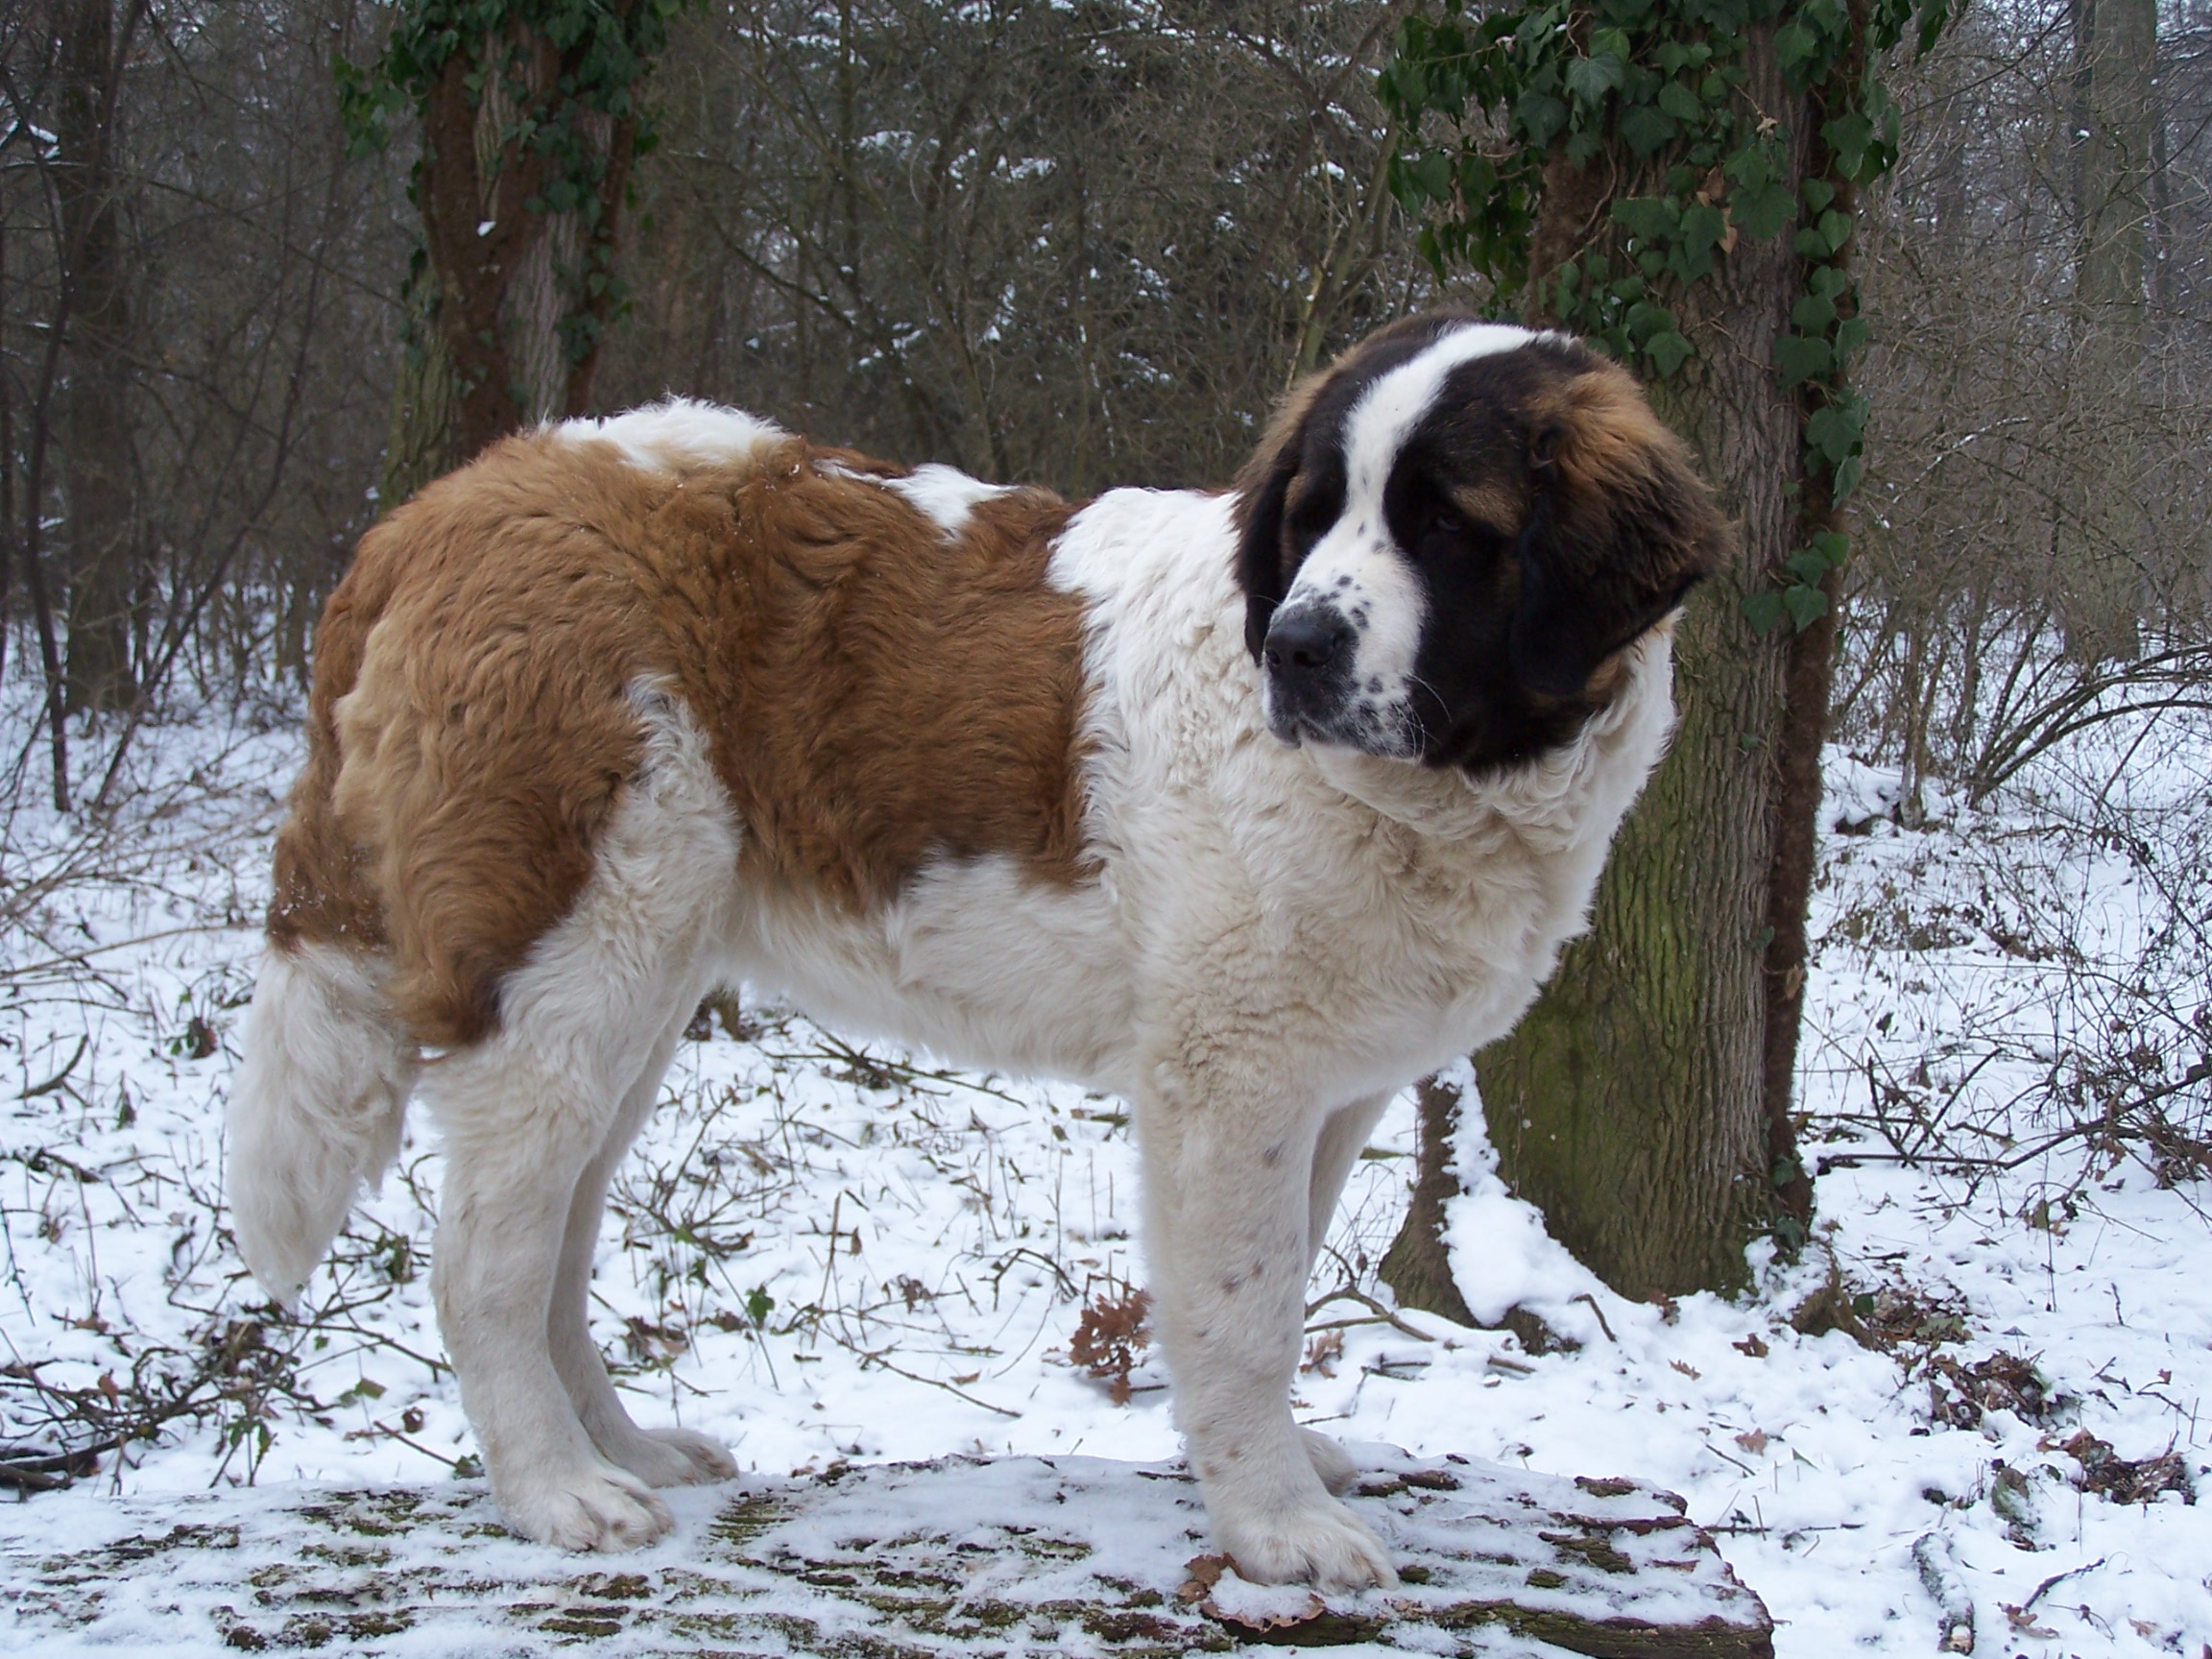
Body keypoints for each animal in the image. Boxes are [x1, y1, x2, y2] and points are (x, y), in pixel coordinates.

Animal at [233, 314, 1725, 1601]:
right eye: (1311, 519)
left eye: (1450, 530)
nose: (1297, 644)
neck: (1438, 793)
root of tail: (447, 500)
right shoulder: (1229, 1077)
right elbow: (1244, 1308)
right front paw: (1276, 1524)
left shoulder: (1327, 1087)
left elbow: (1282, 1277)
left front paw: (1287, 1467)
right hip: (565, 966)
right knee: (482, 1262)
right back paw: (555, 1491)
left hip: (628, 997)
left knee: (555, 1245)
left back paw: (628, 1448)